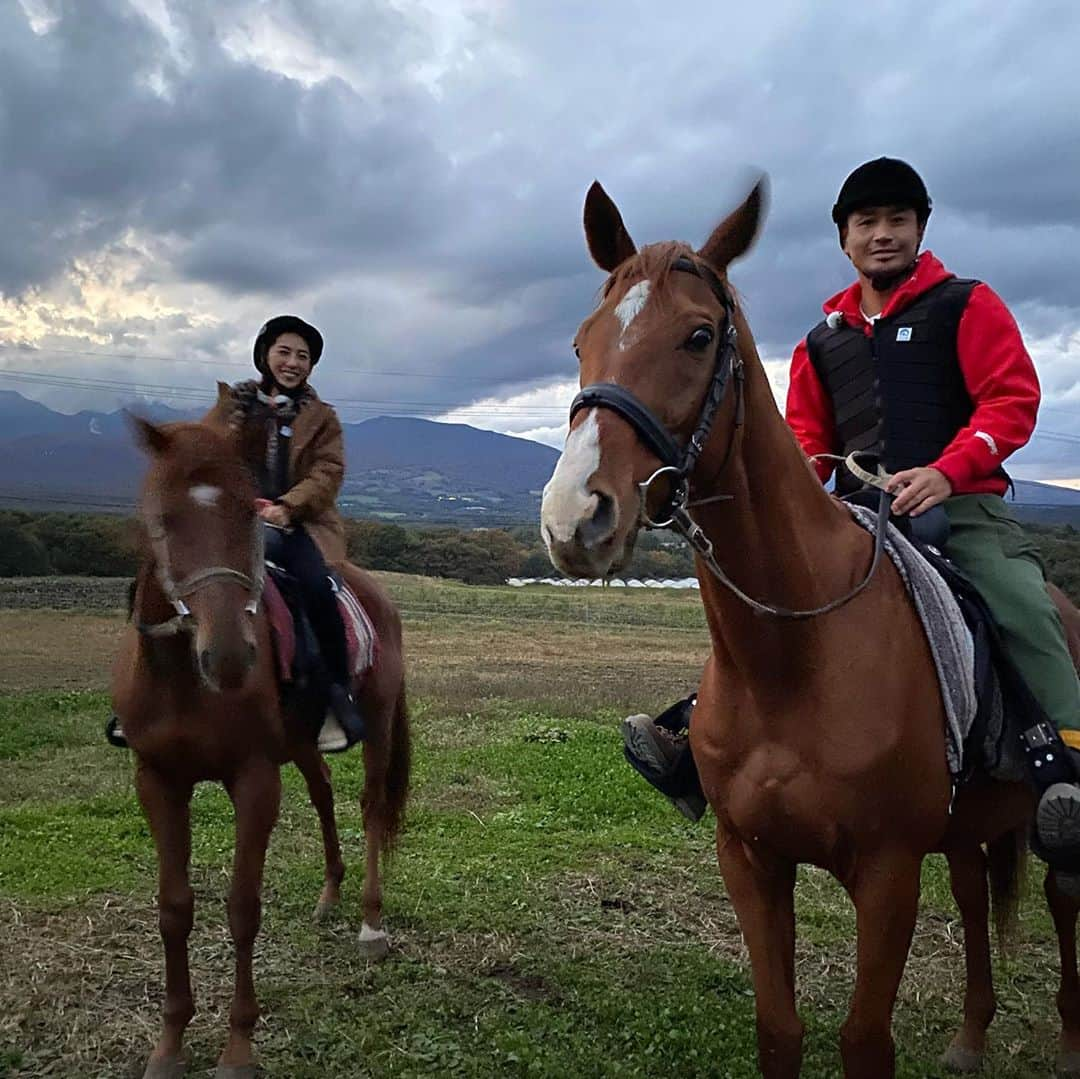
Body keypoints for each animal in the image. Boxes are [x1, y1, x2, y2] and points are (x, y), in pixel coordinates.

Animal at [111, 419, 408, 1079]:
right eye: (163, 518)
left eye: (249, 514)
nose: (229, 657)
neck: (183, 678)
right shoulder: (157, 779)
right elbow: (174, 907)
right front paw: (169, 1043)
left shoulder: (253, 778)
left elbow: (243, 907)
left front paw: (238, 1048)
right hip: (299, 743)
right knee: (324, 793)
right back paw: (329, 894)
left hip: (375, 724)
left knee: (372, 808)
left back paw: (370, 924)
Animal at [540, 181, 1080, 1075]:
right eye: (582, 340)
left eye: (698, 336)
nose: (575, 517)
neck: (793, 659)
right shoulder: (751, 859)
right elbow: (779, 1029)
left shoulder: (889, 872)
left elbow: (864, 1040)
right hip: (965, 825)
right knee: (973, 892)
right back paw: (970, 1034)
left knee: (1062, 895)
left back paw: (1070, 1041)